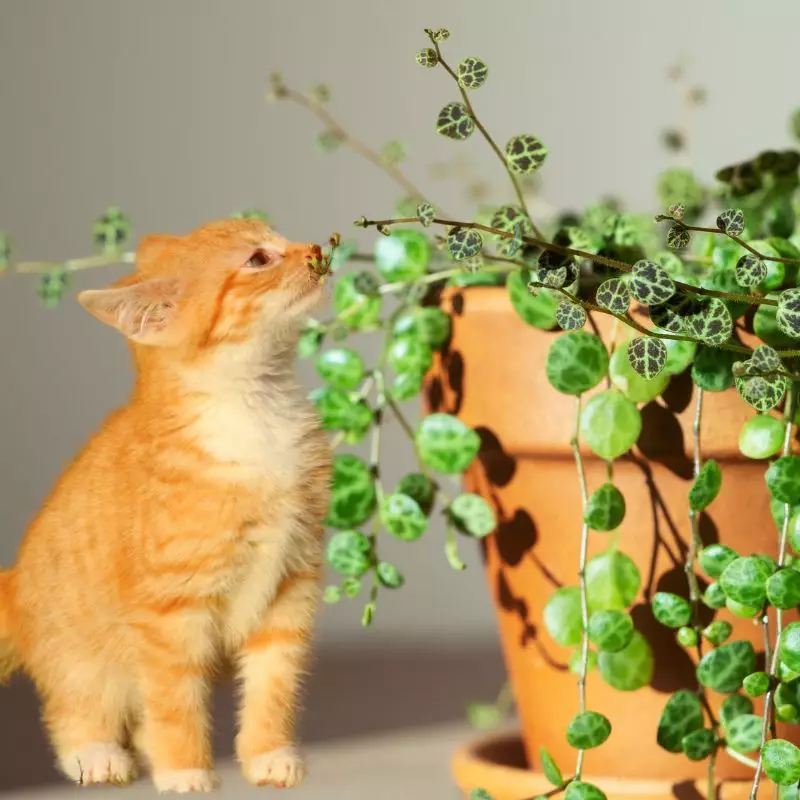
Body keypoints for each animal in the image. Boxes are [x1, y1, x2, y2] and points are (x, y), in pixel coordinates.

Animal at [0, 220, 332, 792]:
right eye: (259, 259)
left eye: (281, 238)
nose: (313, 249)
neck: (255, 415)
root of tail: (15, 585)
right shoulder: (169, 608)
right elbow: (175, 696)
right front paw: (184, 770)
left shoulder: (291, 583)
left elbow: (275, 679)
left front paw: (268, 753)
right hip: (78, 653)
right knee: (75, 706)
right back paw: (96, 752)